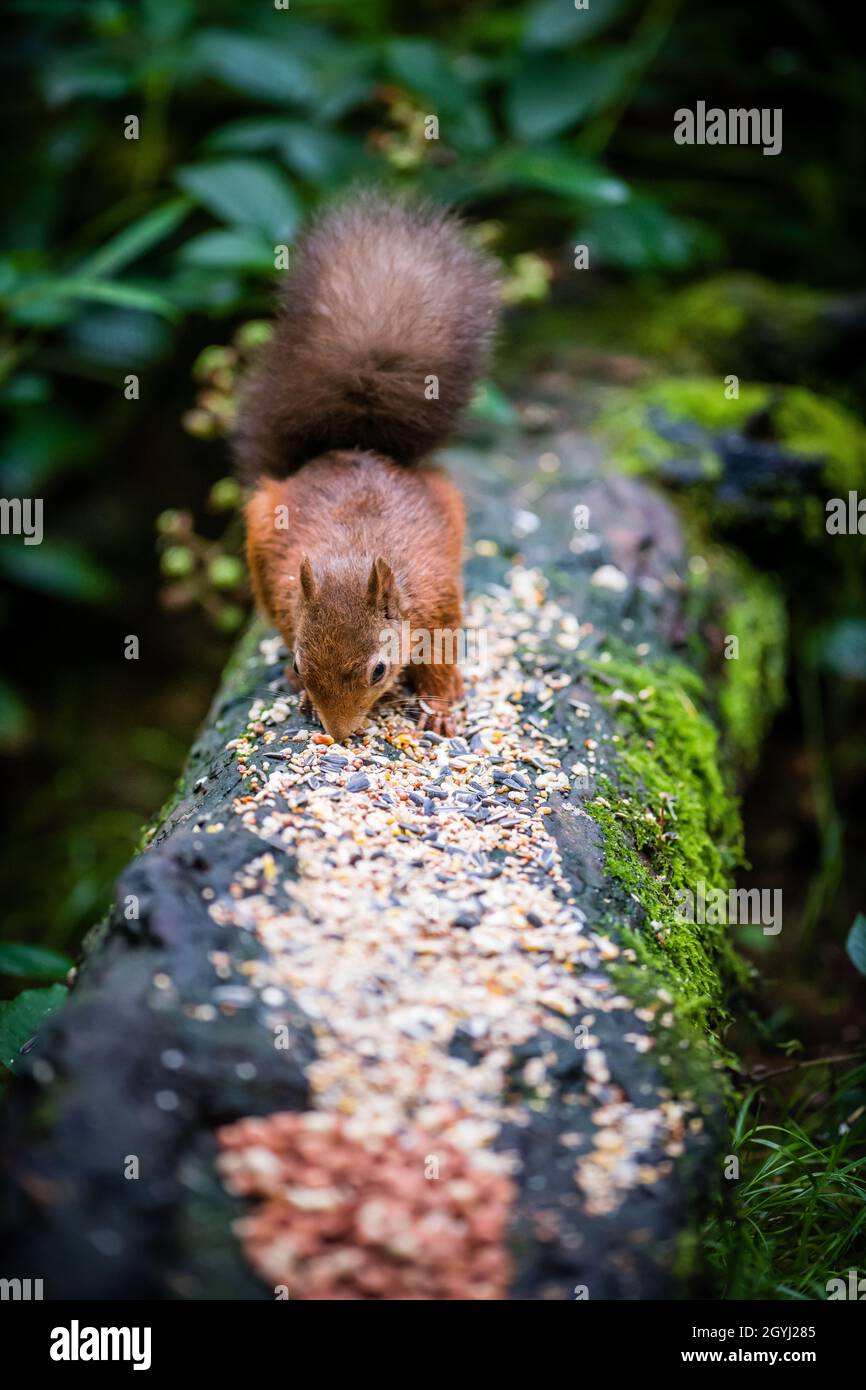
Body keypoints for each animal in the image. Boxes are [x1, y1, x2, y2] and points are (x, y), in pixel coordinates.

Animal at [235, 192, 500, 742]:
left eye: (378, 671)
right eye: (301, 663)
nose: (338, 734)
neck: (353, 555)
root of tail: (353, 449)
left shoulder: (436, 600)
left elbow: (439, 659)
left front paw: (440, 707)